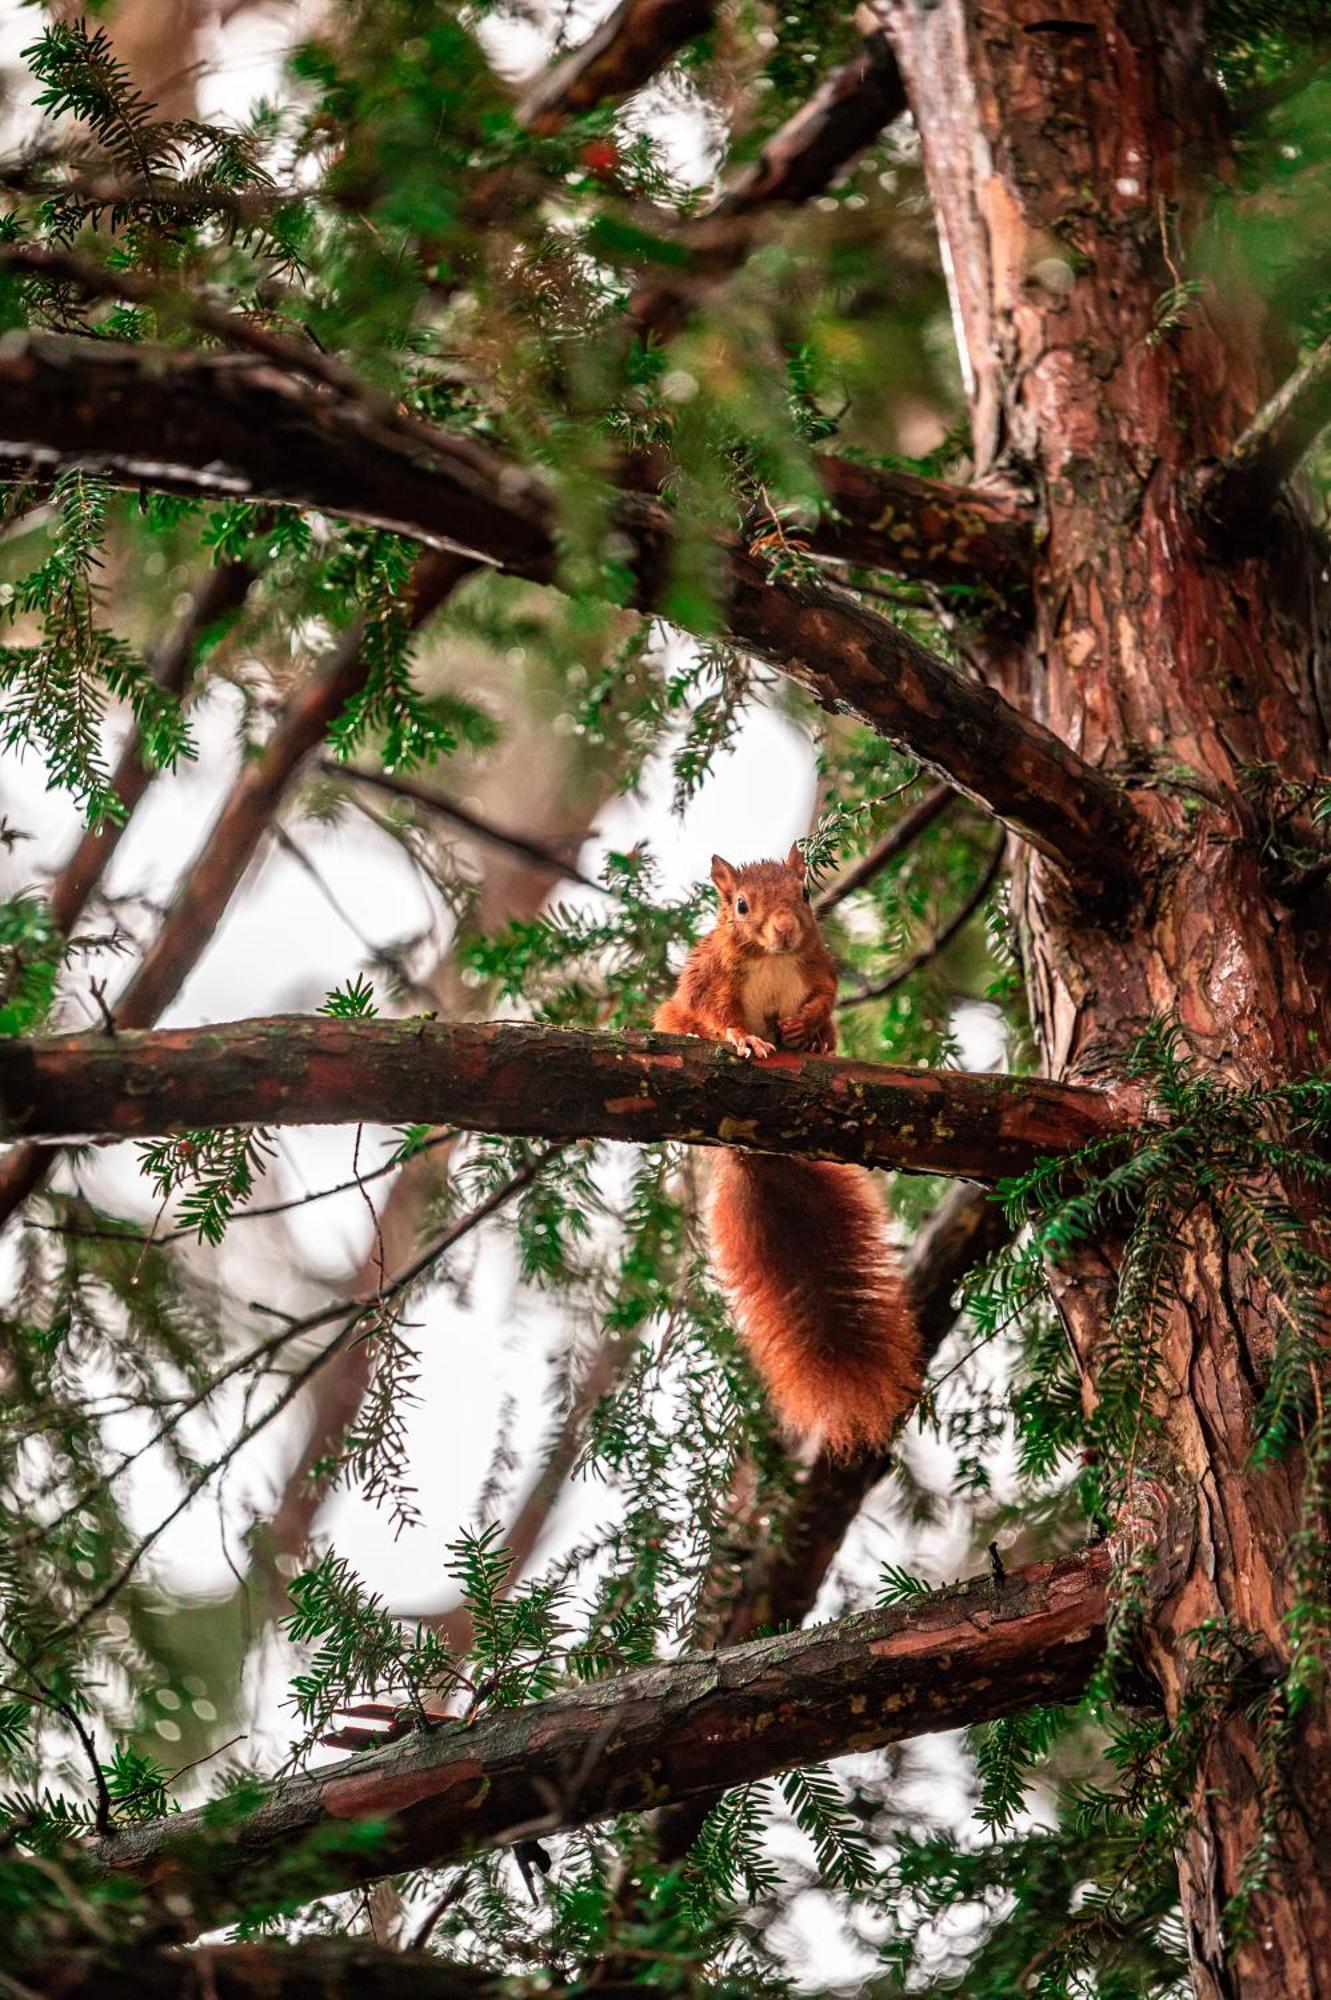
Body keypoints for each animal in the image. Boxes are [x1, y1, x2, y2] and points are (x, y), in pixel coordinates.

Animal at [651, 844, 919, 1456]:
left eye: (802, 893)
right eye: (741, 905)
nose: (786, 929)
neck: (772, 959)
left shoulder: (816, 965)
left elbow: (825, 994)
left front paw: (808, 1025)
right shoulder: (711, 982)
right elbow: (717, 1017)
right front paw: (743, 1038)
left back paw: (817, 1042)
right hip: (670, 1015)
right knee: (682, 1020)